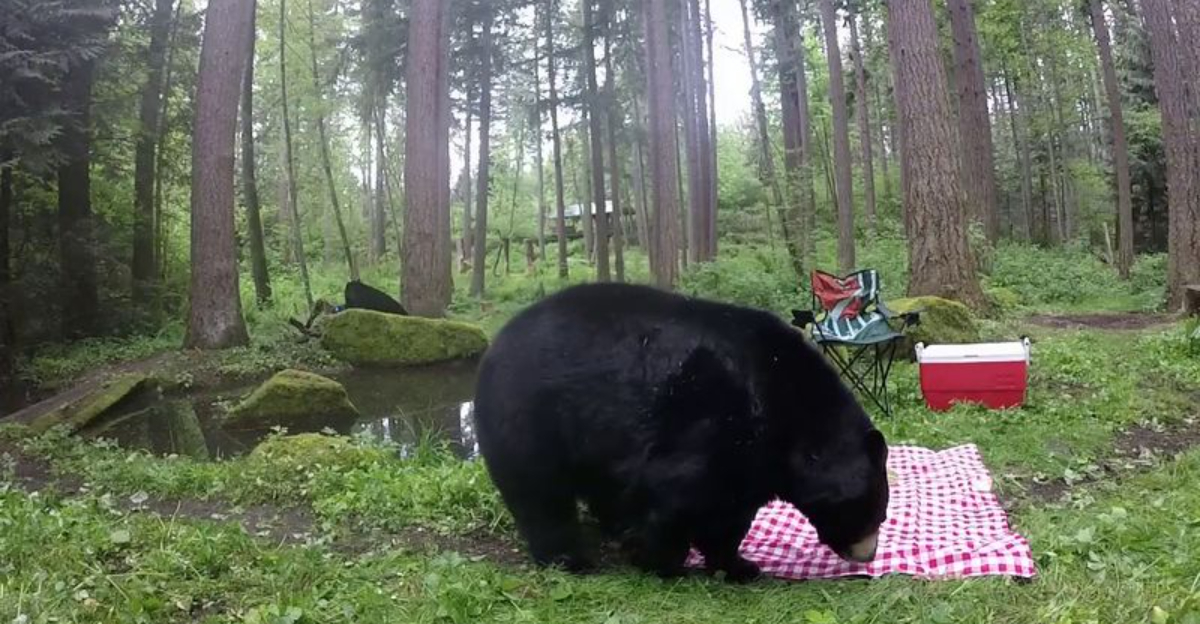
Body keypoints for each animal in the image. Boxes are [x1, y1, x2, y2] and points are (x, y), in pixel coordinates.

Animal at [472, 283, 889, 582]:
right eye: (875, 512)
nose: (867, 555)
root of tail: (493, 347)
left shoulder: (752, 460)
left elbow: (729, 514)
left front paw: (738, 565)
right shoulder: (715, 425)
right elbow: (678, 492)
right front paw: (662, 560)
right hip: (531, 417)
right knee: (540, 493)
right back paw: (569, 557)